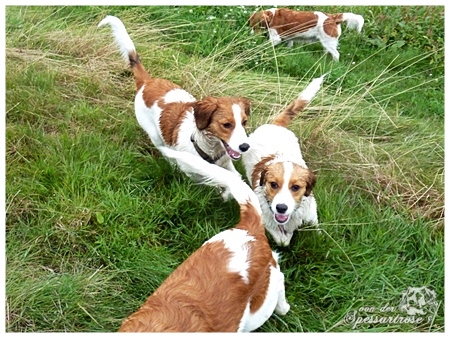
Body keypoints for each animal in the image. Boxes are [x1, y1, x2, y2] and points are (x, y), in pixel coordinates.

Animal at [98, 14, 251, 177]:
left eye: (244, 122)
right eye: (226, 125)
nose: (245, 146)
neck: (206, 146)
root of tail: (148, 81)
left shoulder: (227, 164)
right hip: (154, 134)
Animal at [241, 75, 326, 247]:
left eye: (296, 187)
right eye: (273, 184)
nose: (281, 208)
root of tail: (274, 125)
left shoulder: (310, 210)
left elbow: (315, 226)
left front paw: (318, 235)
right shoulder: (268, 220)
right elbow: (283, 240)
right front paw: (288, 235)